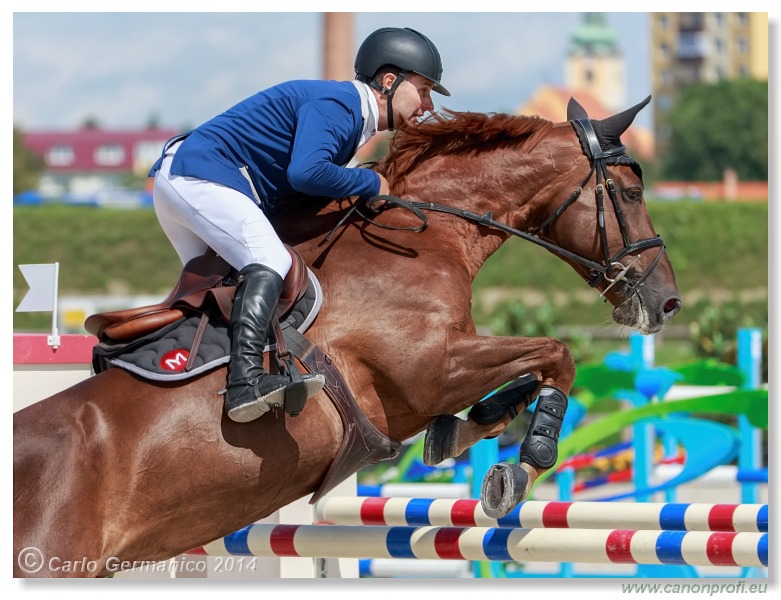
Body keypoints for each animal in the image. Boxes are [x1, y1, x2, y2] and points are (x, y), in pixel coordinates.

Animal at [15, 97, 680, 576]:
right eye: (630, 192)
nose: (666, 301)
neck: (430, 235)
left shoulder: (437, 378)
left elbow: (520, 378)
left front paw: (466, 430)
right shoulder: (429, 371)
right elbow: (558, 355)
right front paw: (522, 466)